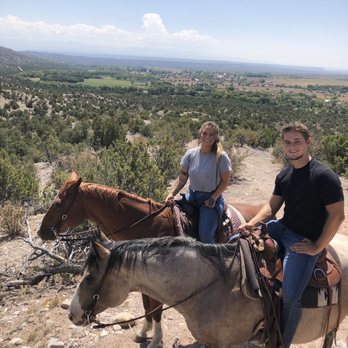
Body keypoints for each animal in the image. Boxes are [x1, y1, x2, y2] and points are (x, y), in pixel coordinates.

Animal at [37, 171, 260, 348]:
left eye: (58, 204)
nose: (41, 232)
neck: (146, 225)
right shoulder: (141, 277)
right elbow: (147, 307)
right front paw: (144, 332)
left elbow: (157, 310)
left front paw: (156, 340)